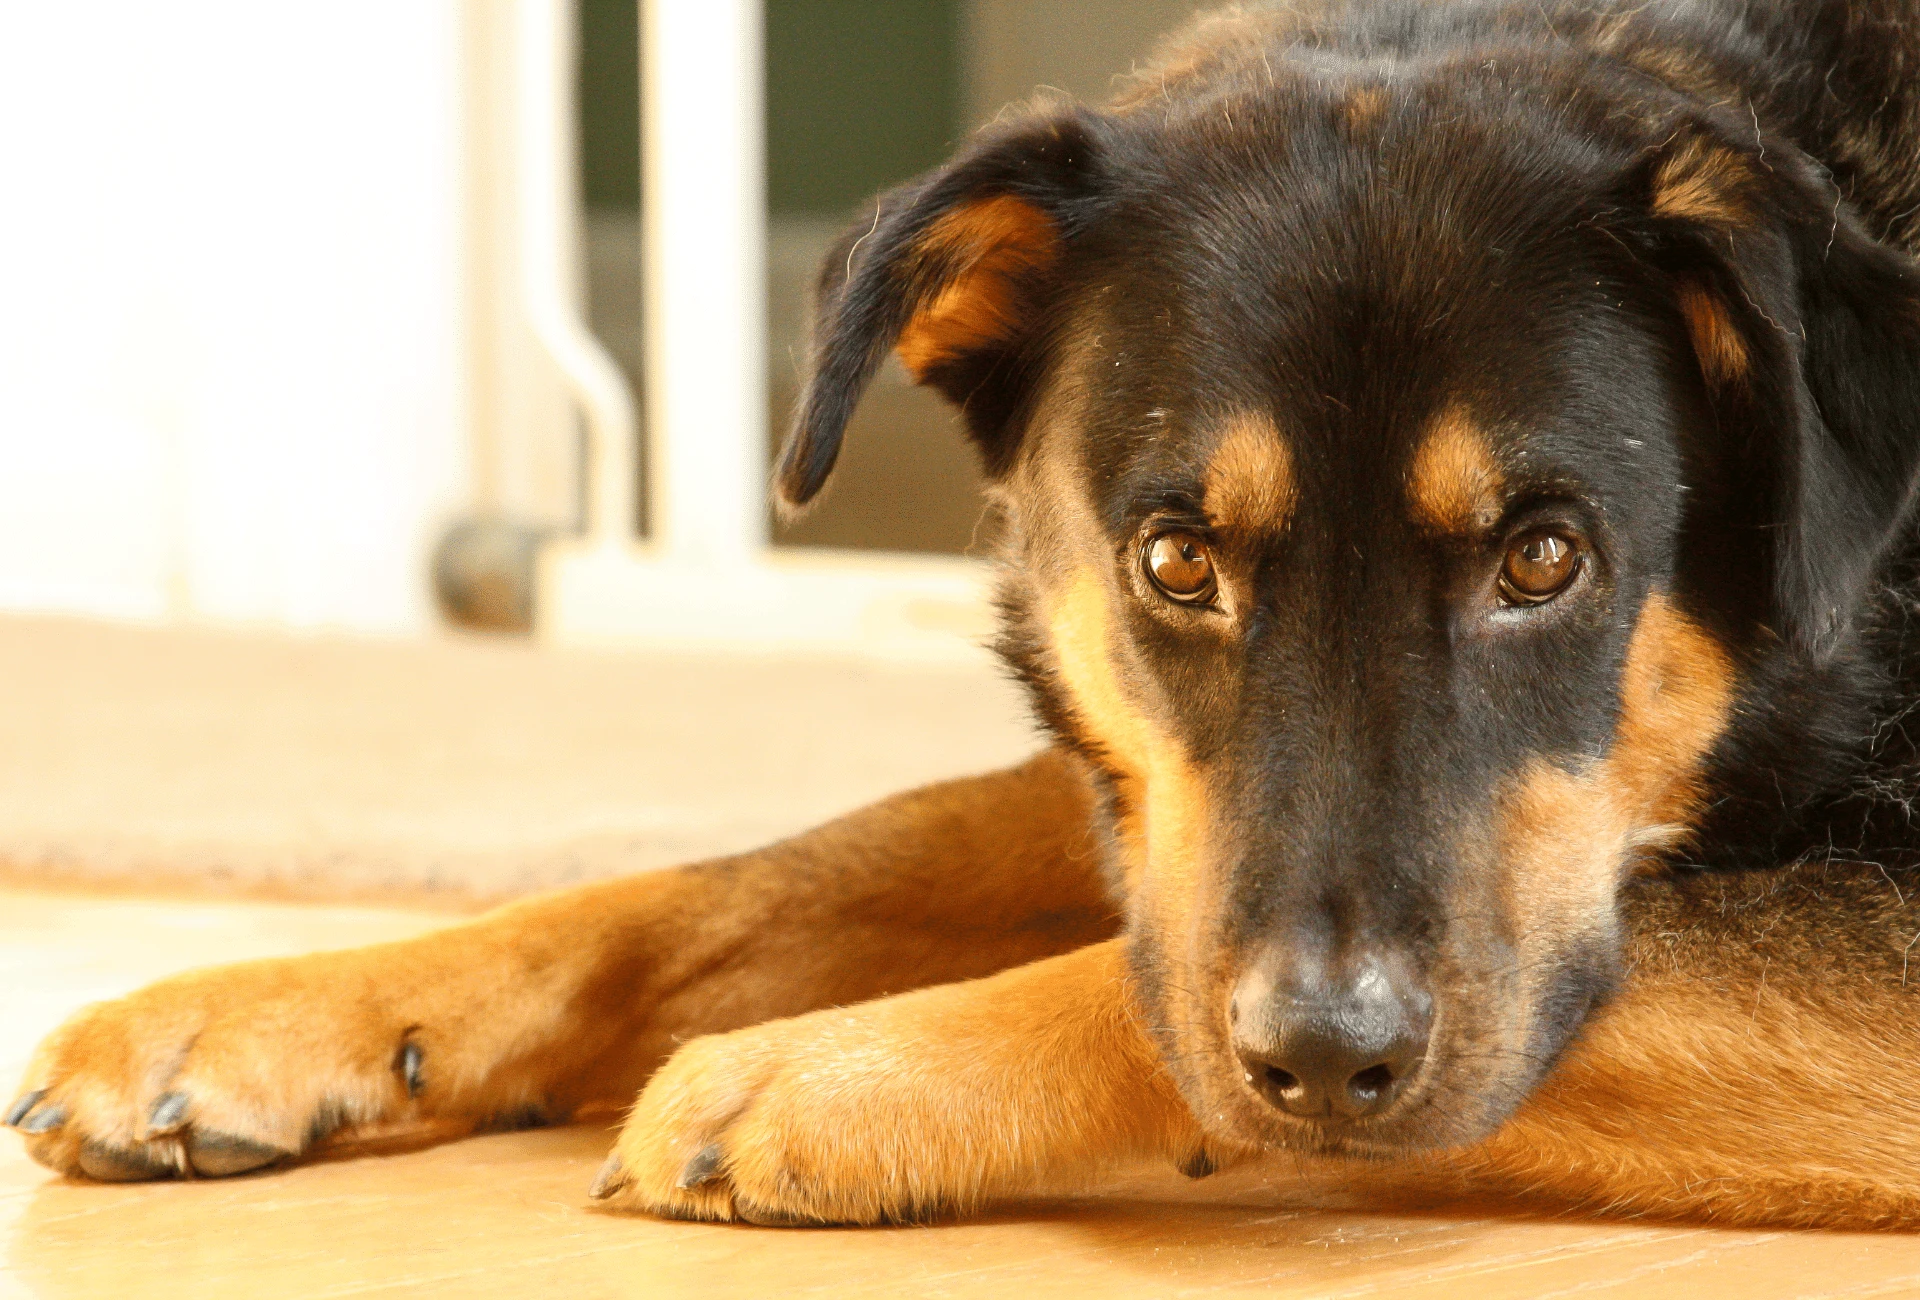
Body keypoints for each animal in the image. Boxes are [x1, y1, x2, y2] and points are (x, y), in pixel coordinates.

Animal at [11, 0, 1920, 1228]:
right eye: (1176, 563)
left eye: (1543, 560)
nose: (1330, 1059)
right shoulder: (1135, 795)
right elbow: (743, 877)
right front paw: (262, 1011)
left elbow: (1127, 984)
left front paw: (820, 1075)